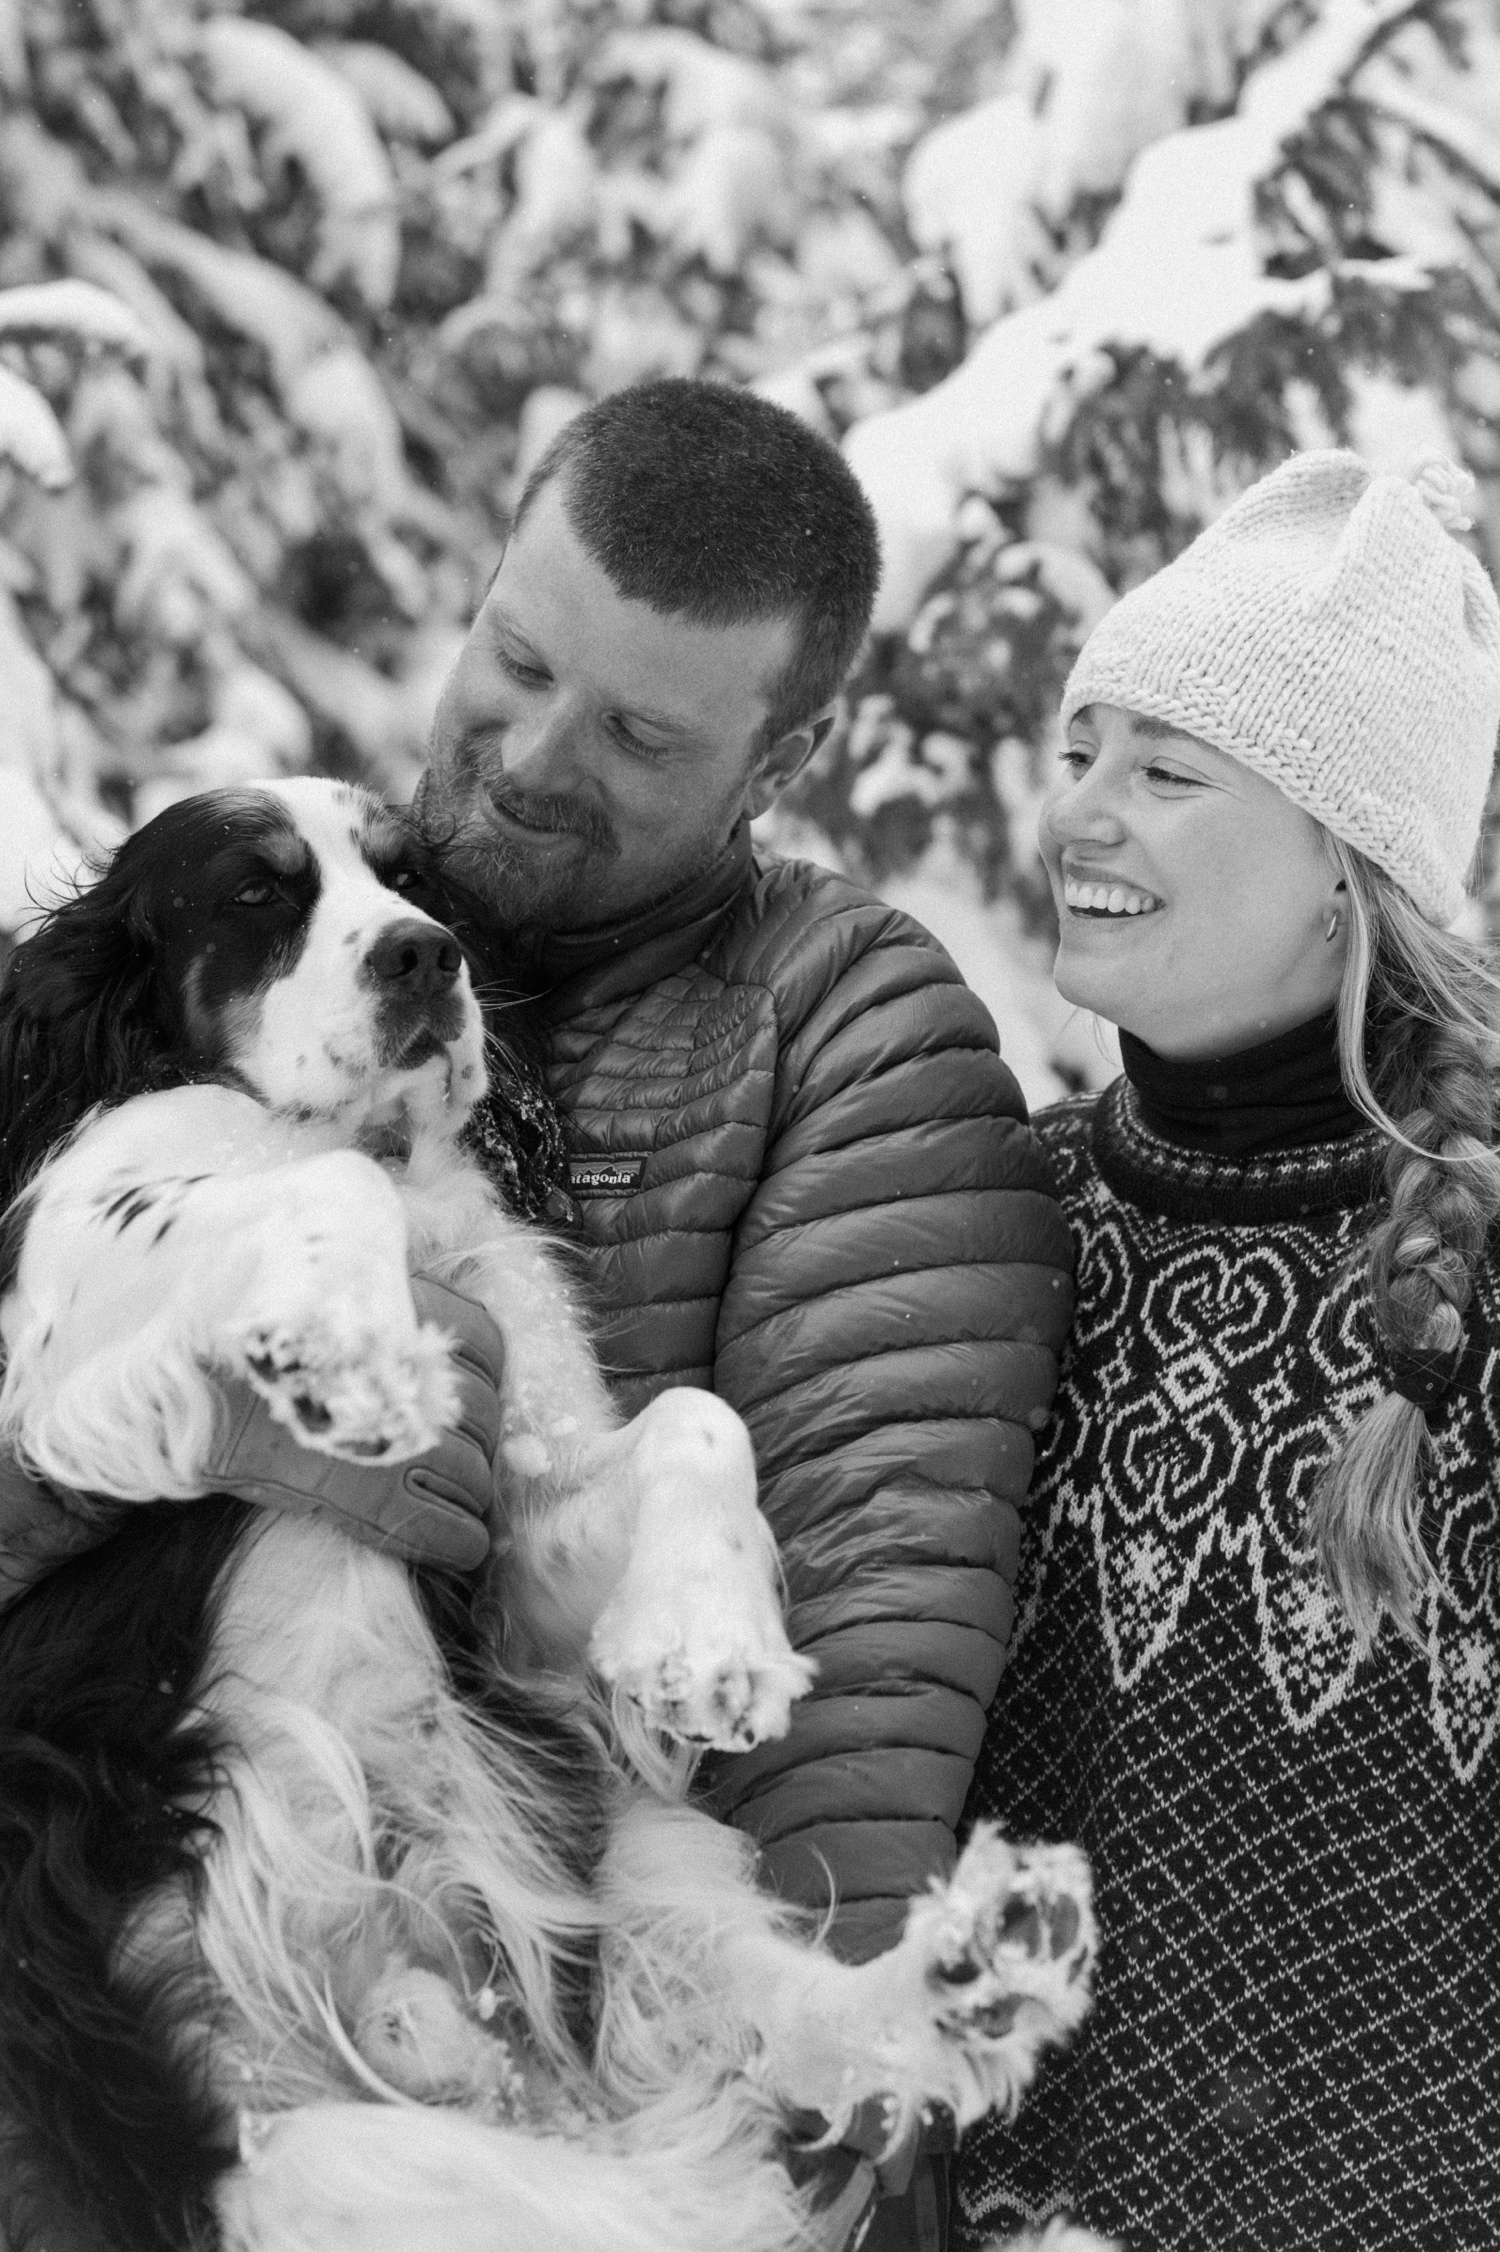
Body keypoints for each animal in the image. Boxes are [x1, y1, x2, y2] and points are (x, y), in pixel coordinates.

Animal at [0, 779, 1099, 2252]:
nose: (423, 958)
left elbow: (697, 1420)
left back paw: (989, 1964)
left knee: (793, 2024)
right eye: (257, 892)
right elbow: (297, 1190)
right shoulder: (69, 1314)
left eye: (414, 881)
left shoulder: (512, 1533)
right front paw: (359, 1345)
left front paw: (707, 1646)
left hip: (627, 1863)